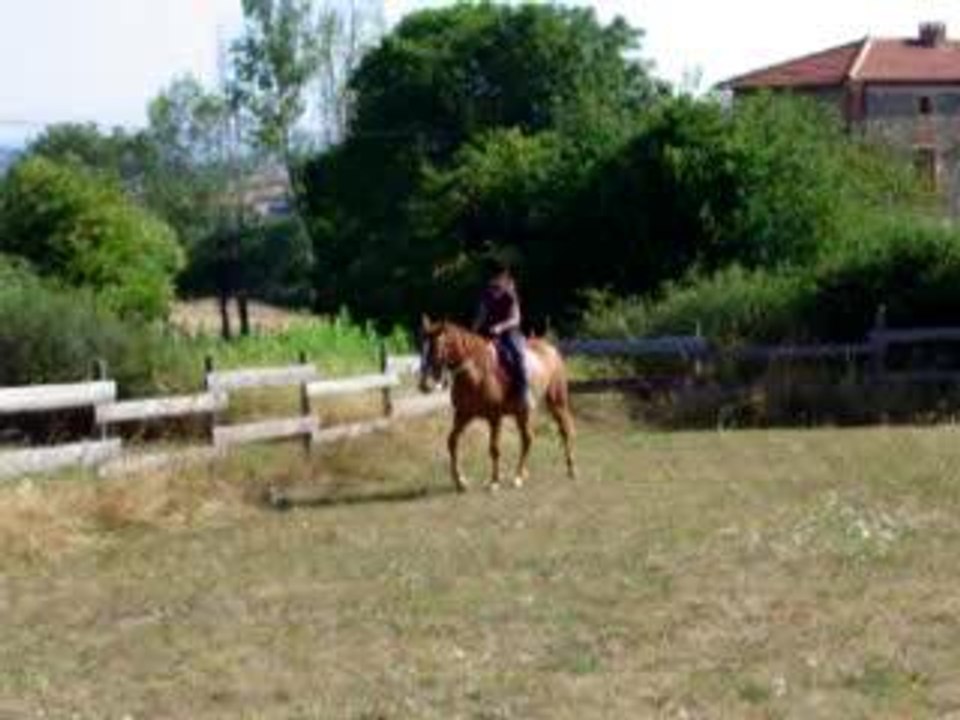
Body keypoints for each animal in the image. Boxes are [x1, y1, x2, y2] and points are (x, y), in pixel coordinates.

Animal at [419, 316, 576, 492]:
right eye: (422, 347)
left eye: (438, 347)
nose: (425, 385)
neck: (476, 372)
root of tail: (550, 349)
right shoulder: (463, 415)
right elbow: (452, 441)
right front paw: (460, 482)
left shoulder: (494, 417)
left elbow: (494, 448)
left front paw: (494, 481)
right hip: (522, 413)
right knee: (527, 439)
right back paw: (521, 475)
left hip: (557, 403)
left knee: (564, 430)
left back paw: (569, 469)